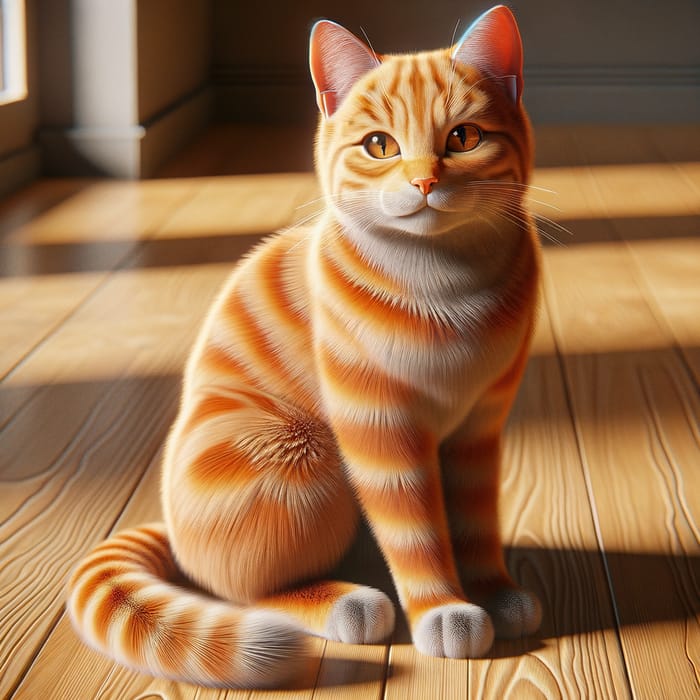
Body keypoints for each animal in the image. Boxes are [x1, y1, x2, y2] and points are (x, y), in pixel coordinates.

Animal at [67, 4, 540, 684]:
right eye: (380, 146)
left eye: (464, 138)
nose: (424, 181)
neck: (449, 286)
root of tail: (174, 534)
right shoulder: (380, 426)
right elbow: (415, 530)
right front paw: (444, 609)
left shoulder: (482, 424)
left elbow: (476, 518)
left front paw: (495, 590)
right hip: (301, 458)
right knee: (243, 589)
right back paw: (348, 602)